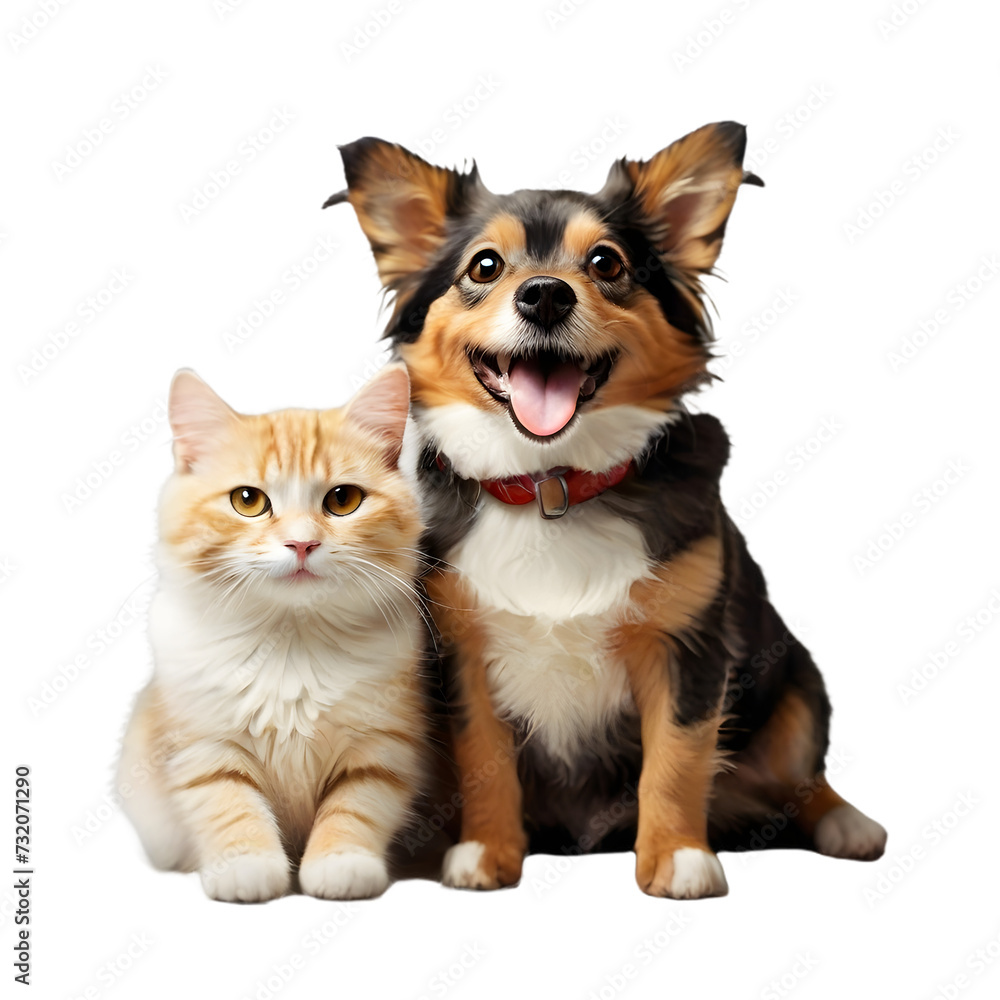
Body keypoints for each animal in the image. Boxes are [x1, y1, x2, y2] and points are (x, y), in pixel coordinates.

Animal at [117, 364, 430, 904]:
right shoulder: (203, 744)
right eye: (248, 500)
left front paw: (340, 863)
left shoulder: (380, 747)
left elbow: (355, 808)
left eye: (343, 500)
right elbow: (229, 806)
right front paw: (247, 866)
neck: (291, 640)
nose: (302, 543)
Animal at [324, 119, 888, 900]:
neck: (552, 486)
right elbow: (483, 758)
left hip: (799, 688)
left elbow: (677, 758)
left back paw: (848, 824)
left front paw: (679, 859)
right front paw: (486, 853)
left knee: (804, 779)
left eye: (606, 261)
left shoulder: (687, 650)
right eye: (485, 266)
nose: (544, 296)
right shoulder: (463, 657)